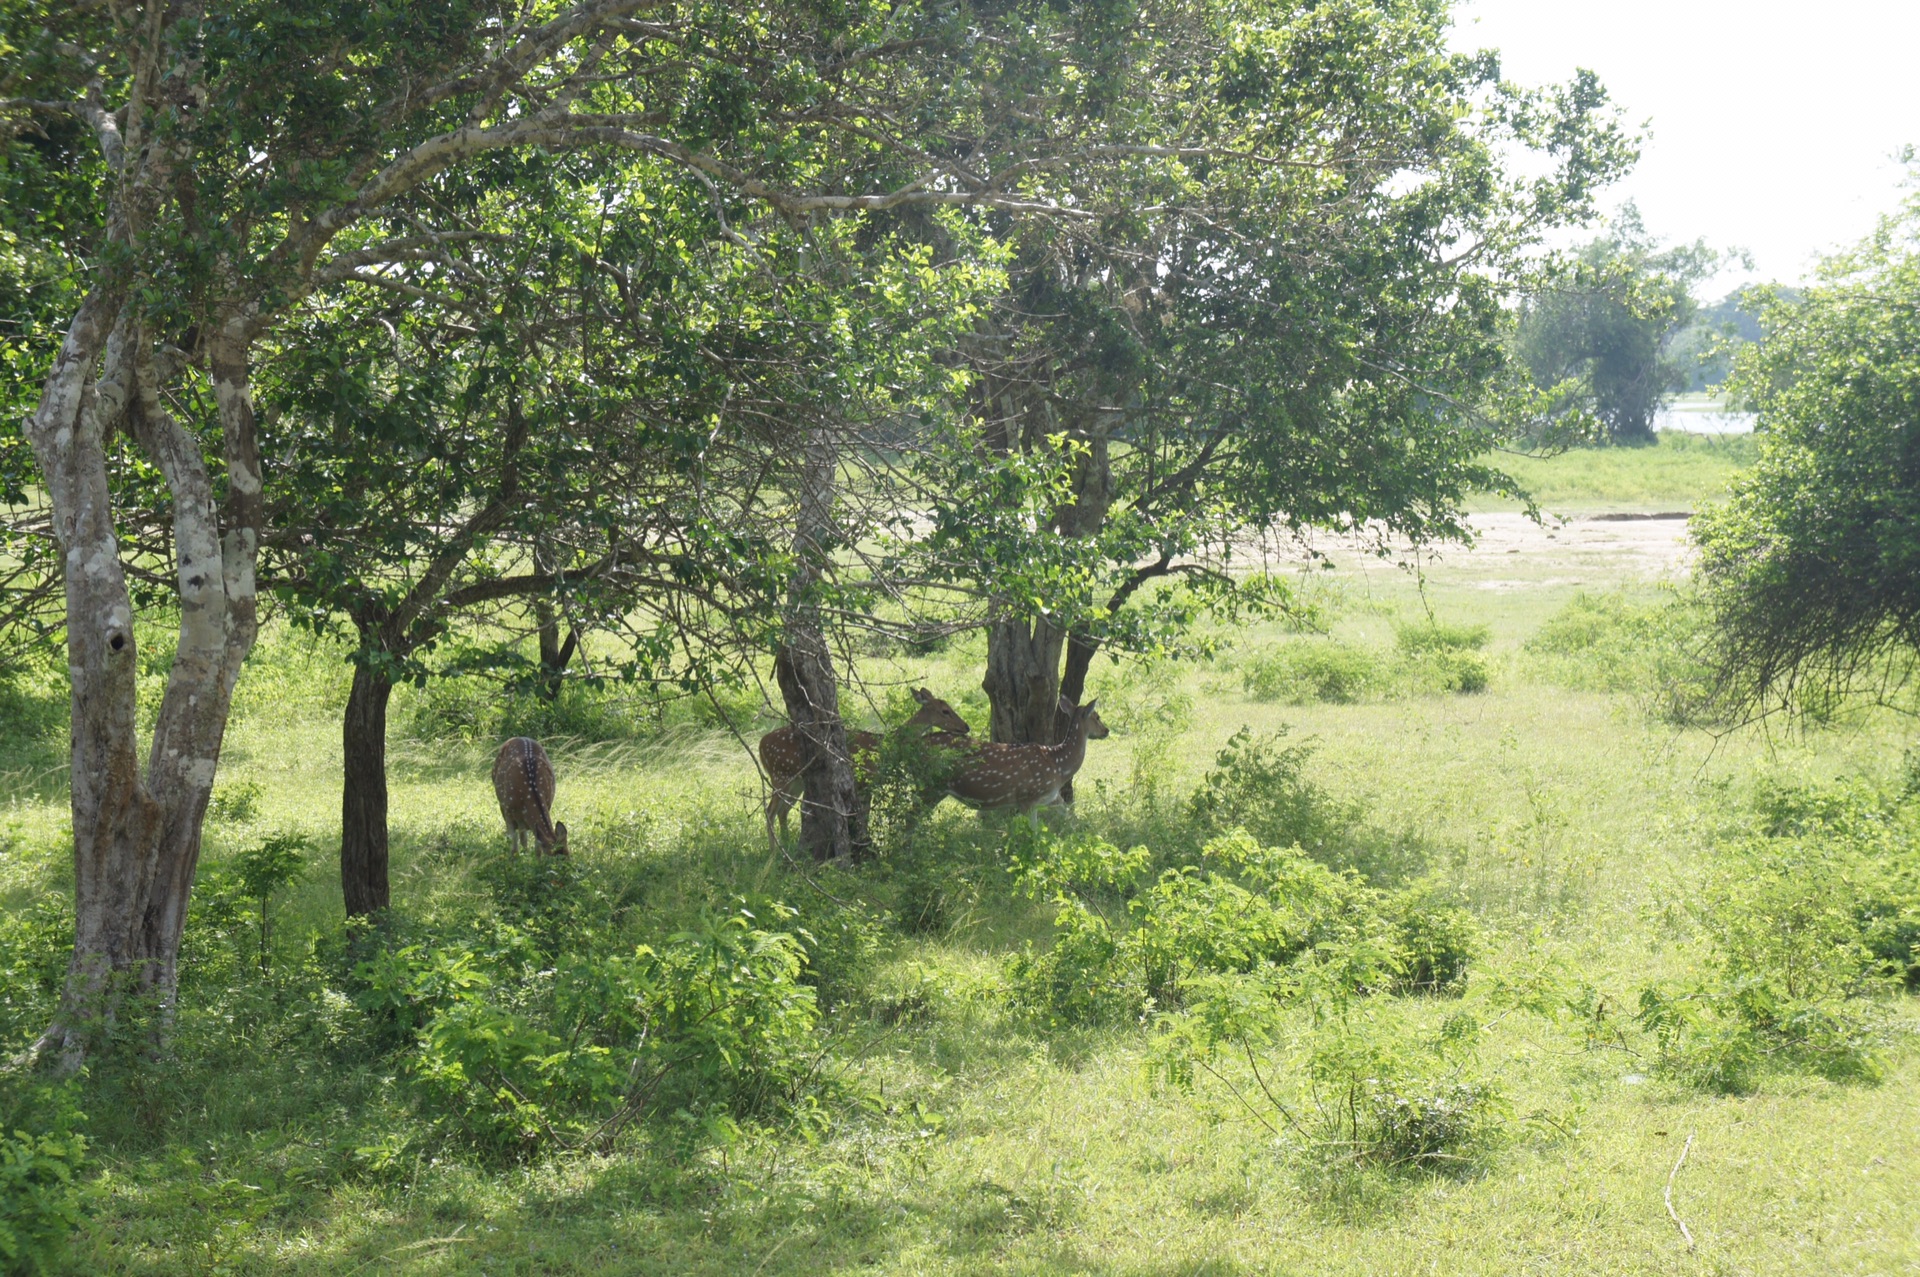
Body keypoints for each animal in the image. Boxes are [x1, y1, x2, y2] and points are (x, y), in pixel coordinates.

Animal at [756, 683, 967, 852]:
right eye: (945, 711)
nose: (966, 727)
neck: (882, 749)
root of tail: (761, 745)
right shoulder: (865, 780)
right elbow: (864, 817)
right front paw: (864, 844)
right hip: (781, 773)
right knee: (770, 810)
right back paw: (774, 853)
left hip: (797, 782)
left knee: (783, 810)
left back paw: (786, 844)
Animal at [944, 698, 1113, 825]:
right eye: (1097, 716)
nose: (1106, 730)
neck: (1058, 765)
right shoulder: (1028, 798)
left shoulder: (1052, 798)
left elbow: (1067, 816)